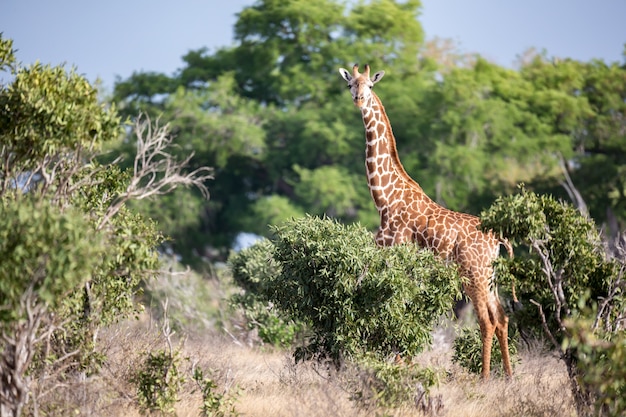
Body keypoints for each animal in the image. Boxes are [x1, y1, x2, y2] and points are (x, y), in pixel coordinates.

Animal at [342, 63, 512, 378]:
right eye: (350, 85)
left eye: (370, 85)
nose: (359, 100)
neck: (384, 198)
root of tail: (497, 238)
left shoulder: (394, 253)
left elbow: (397, 308)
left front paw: (398, 365)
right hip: (491, 277)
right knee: (503, 318)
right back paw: (508, 377)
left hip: (474, 274)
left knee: (487, 321)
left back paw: (485, 378)